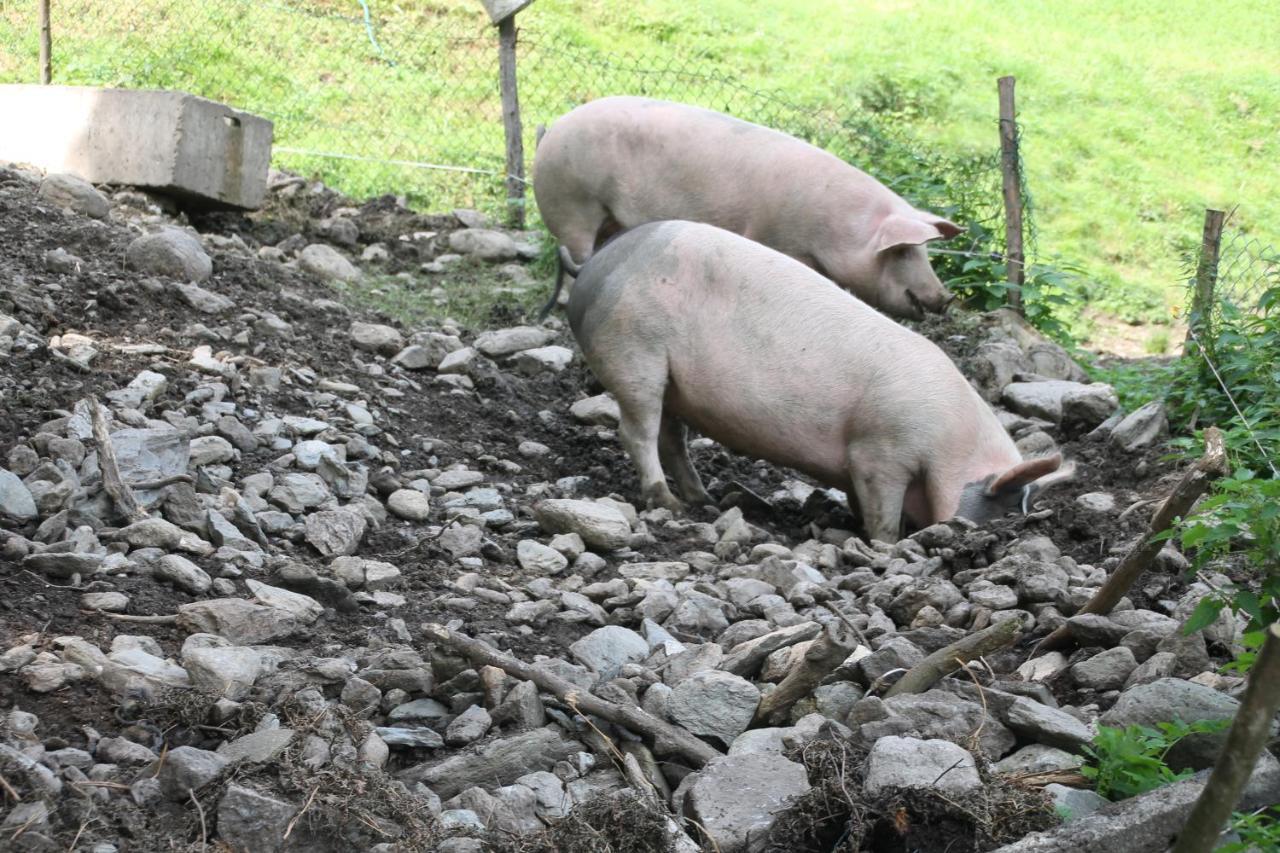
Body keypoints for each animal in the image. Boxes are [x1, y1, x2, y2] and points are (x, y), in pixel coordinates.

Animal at [529, 96, 962, 320]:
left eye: (925, 251)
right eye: (903, 251)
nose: (945, 298)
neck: (838, 230)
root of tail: (549, 130)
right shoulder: (780, 240)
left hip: (607, 217)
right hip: (573, 204)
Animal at [570, 219, 1070, 537]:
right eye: (1004, 508)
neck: (952, 446)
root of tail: (594, 270)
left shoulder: (858, 466)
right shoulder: (880, 451)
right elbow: (882, 512)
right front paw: (887, 544)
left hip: (673, 383)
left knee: (671, 438)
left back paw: (705, 500)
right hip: (636, 353)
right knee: (636, 432)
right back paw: (669, 503)